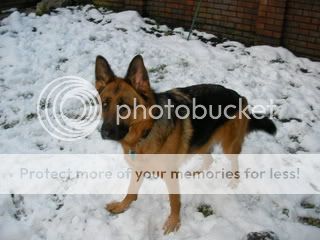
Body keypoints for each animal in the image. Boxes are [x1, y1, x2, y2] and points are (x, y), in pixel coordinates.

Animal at [95, 54, 278, 234]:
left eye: (124, 107)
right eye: (105, 104)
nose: (104, 133)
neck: (147, 130)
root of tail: (238, 96)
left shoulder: (170, 175)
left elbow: (174, 201)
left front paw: (174, 223)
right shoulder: (138, 168)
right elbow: (131, 192)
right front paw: (122, 206)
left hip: (229, 146)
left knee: (234, 163)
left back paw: (234, 182)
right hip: (201, 141)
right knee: (209, 159)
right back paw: (196, 172)